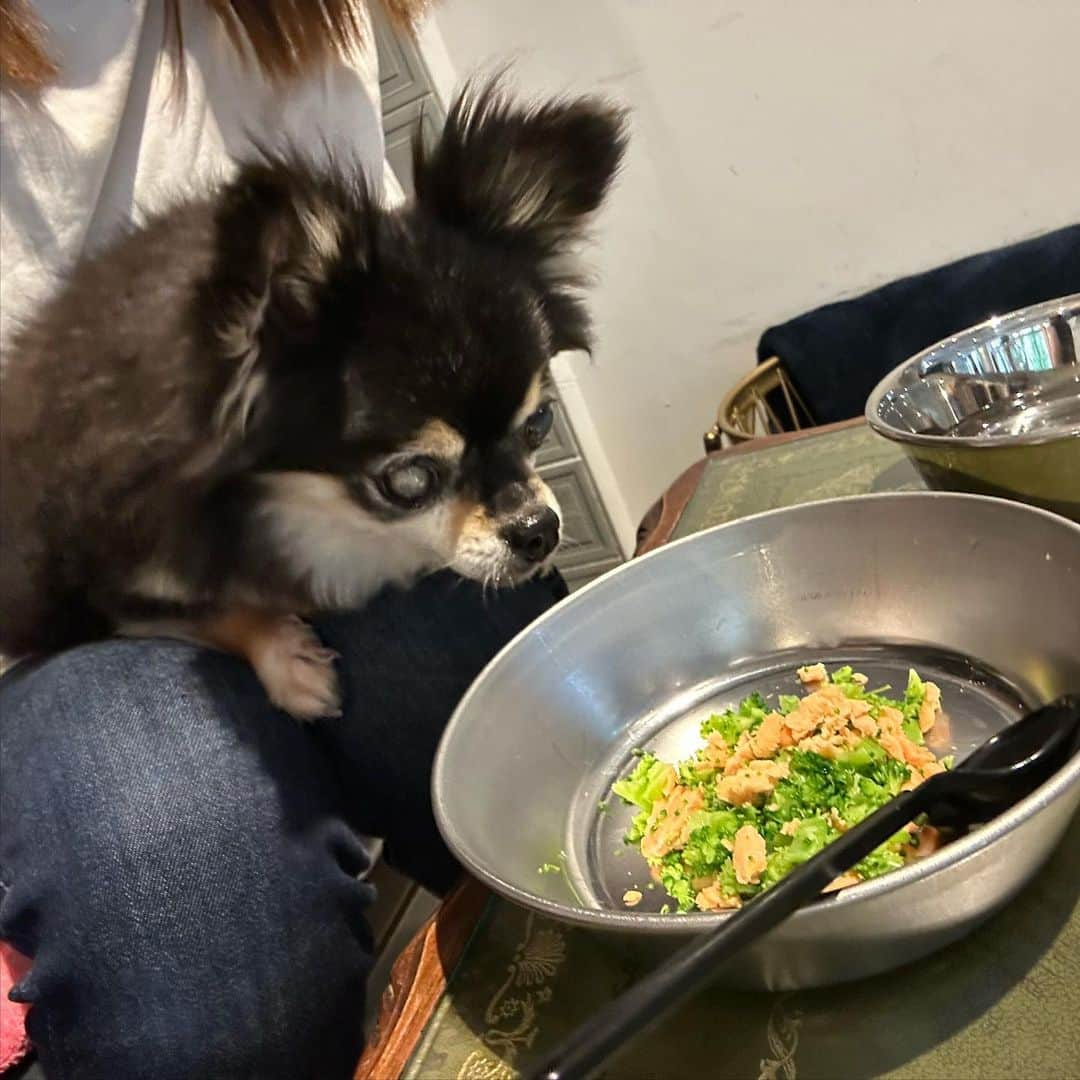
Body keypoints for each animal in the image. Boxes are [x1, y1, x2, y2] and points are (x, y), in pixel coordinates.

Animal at [0, 84, 630, 721]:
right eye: (411, 480)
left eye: (538, 423)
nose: (539, 530)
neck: (291, 511)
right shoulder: (109, 585)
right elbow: (215, 610)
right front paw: (289, 660)